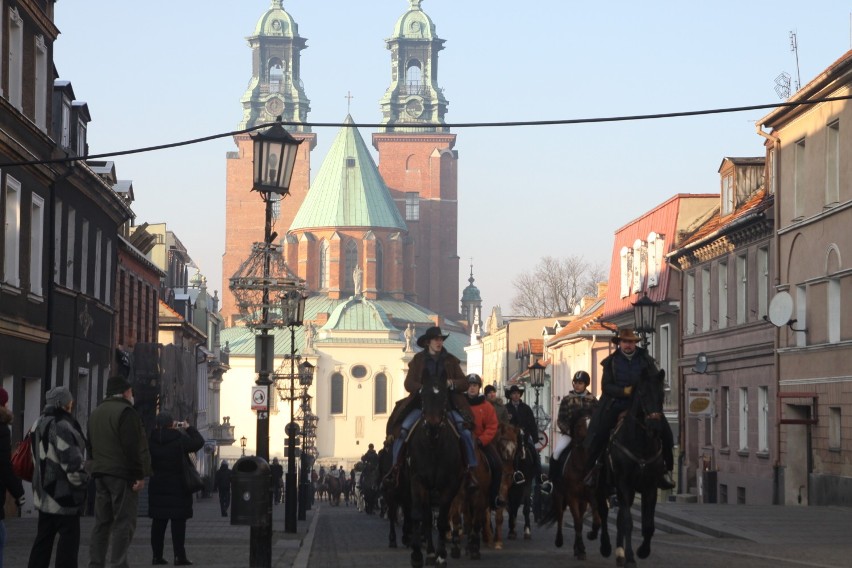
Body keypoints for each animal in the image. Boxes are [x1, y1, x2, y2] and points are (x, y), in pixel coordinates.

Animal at [408, 368, 466, 568]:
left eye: (443, 397)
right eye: (423, 396)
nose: (432, 425)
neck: (433, 445)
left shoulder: (449, 485)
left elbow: (442, 520)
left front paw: (441, 555)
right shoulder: (418, 482)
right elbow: (420, 517)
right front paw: (420, 554)